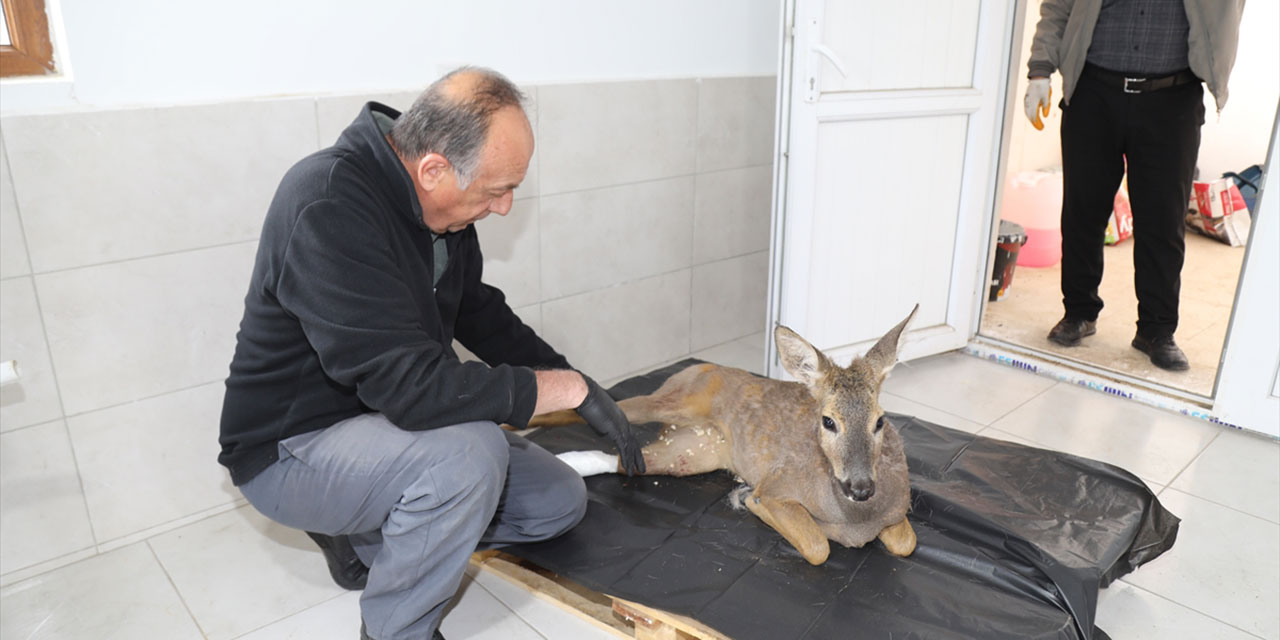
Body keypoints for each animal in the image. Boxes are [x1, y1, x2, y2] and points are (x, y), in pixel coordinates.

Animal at [532, 304, 921, 565]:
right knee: (608, 407)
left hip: (689, 454)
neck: (855, 521)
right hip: (678, 401)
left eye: (880, 421)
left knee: (623, 460)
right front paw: (750, 502)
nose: (861, 487)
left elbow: (907, 542)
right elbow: (817, 547)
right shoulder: (776, 489)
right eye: (828, 421)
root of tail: (699, 364)